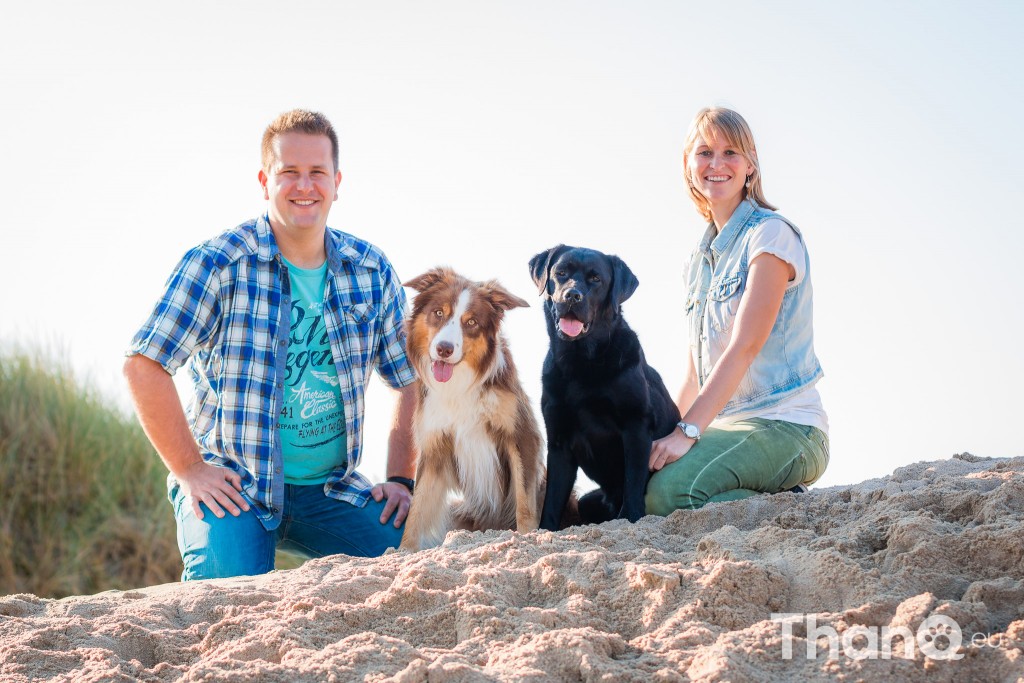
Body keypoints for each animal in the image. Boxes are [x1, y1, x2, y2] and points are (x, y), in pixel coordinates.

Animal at [397, 270, 548, 552]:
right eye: (438, 313)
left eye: (471, 322)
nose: (444, 349)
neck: (459, 384)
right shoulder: (435, 444)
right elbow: (417, 506)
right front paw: (402, 551)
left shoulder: (520, 434)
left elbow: (524, 499)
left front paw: (528, 538)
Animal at [528, 245, 679, 528]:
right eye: (561, 273)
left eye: (596, 279)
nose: (572, 295)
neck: (581, 361)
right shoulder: (559, 439)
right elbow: (552, 500)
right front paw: (544, 530)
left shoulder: (636, 424)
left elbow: (633, 483)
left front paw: (630, 519)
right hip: (588, 502)